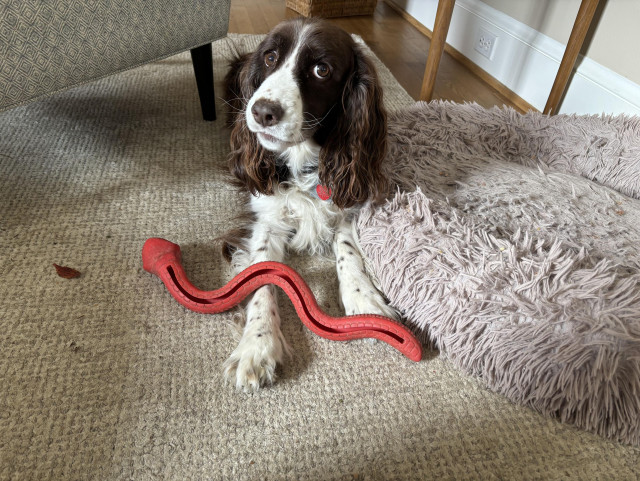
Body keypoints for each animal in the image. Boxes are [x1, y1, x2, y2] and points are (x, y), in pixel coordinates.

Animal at [221, 17, 396, 390]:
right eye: (271, 58)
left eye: (321, 69)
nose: (262, 111)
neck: (301, 158)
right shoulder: (264, 218)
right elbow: (263, 274)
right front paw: (257, 346)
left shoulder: (348, 203)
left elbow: (347, 250)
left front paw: (365, 301)